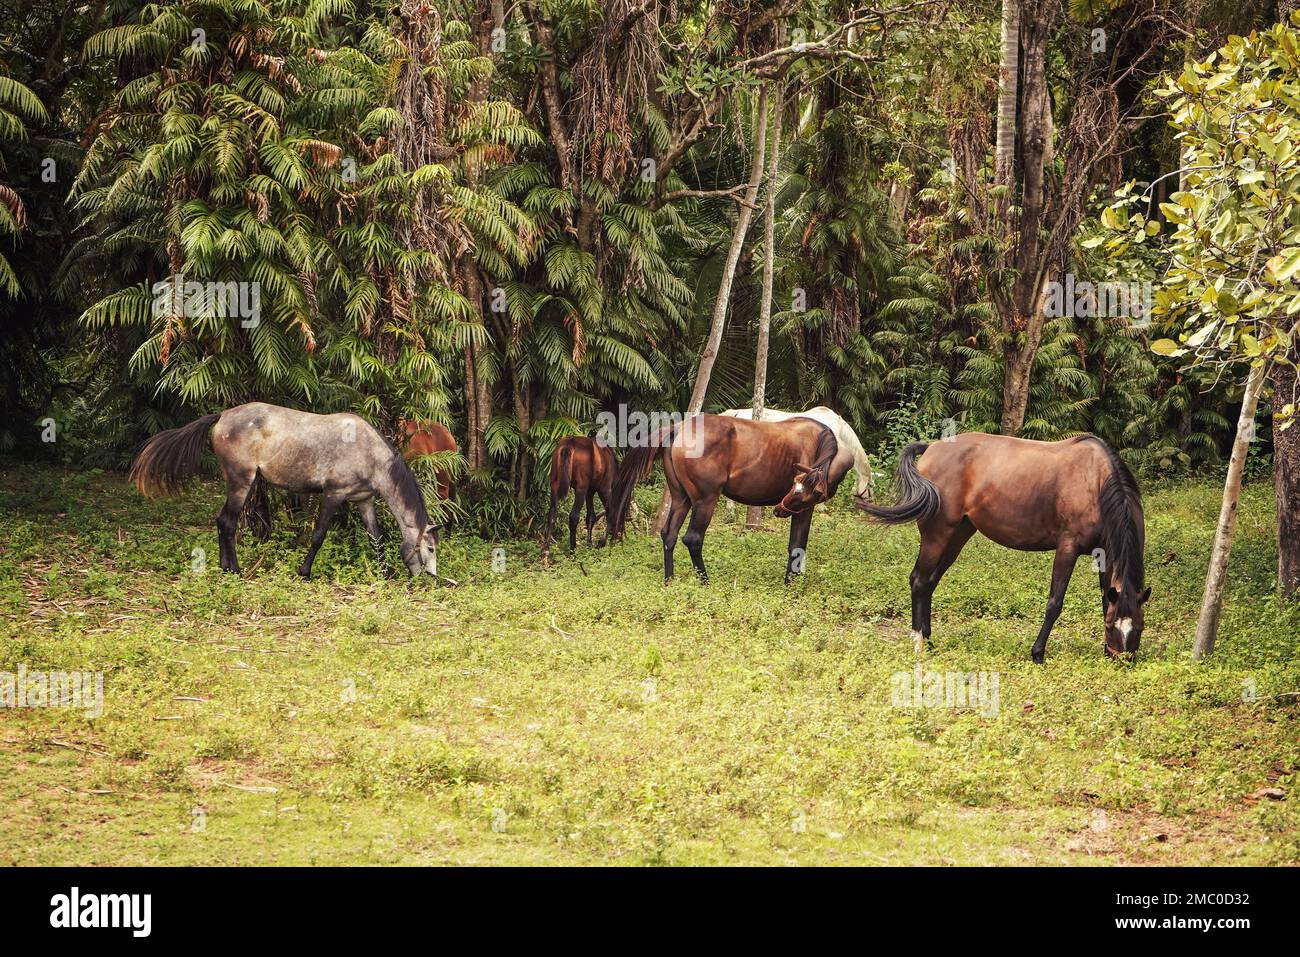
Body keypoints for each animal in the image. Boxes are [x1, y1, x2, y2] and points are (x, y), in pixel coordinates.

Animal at [130, 403, 441, 579]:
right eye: (429, 548)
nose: (429, 579)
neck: (368, 451)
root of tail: (223, 416)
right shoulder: (333, 495)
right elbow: (318, 536)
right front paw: (304, 573)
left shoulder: (364, 501)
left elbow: (376, 538)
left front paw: (385, 573)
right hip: (241, 482)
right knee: (227, 522)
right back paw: (234, 570)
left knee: (222, 521)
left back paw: (225, 568)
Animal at [608, 413, 842, 582]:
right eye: (796, 486)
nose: (779, 510)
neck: (817, 439)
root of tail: (679, 429)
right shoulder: (804, 509)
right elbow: (797, 546)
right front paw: (791, 583)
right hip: (705, 501)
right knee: (692, 539)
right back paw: (704, 581)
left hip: (680, 499)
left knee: (669, 535)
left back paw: (670, 580)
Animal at [863, 434, 1149, 665]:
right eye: (1112, 627)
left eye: (1140, 628)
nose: (1121, 659)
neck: (1096, 482)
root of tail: (932, 447)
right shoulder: (1067, 548)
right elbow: (1054, 603)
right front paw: (1037, 653)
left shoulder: (1104, 553)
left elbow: (1105, 601)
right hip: (937, 534)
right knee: (919, 581)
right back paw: (918, 643)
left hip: (958, 534)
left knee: (930, 583)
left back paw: (930, 641)